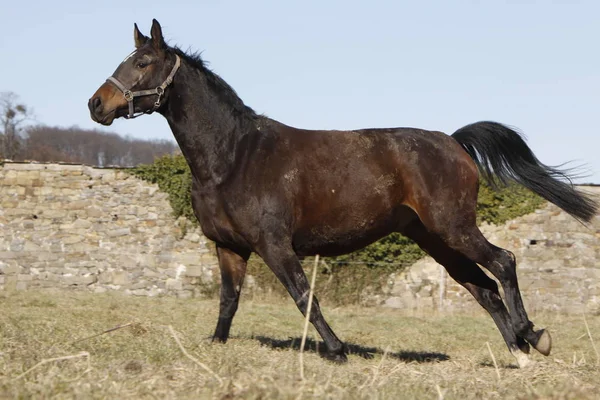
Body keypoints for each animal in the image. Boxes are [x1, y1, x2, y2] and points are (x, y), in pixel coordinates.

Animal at [86, 19, 596, 368]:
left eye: (143, 63)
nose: (97, 104)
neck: (232, 156)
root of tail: (453, 143)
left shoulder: (275, 245)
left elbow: (302, 296)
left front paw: (336, 349)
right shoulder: (229, 247)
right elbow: (229, 301)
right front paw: (215, 345)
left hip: (454, 227)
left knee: (503, 263)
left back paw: (533, 335)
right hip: (435, 239)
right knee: (484, 289)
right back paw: (519, 352)